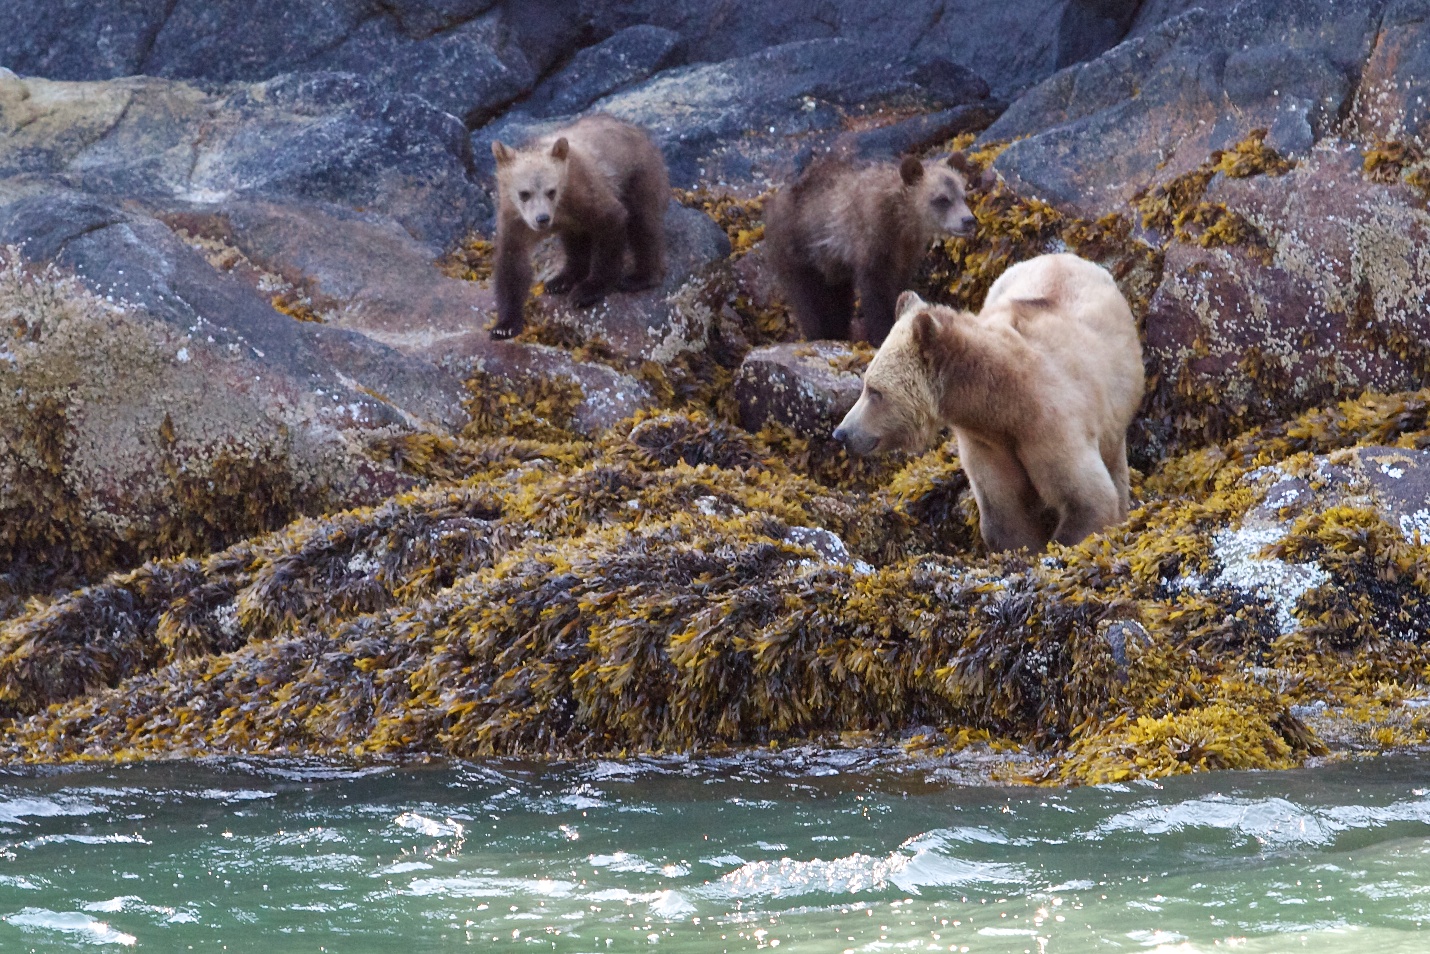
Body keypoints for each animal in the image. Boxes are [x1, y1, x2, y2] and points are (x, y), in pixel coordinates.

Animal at [491, 114, 669, 338]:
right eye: (524, 193)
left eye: (551, 191)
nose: (542, 219)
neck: (560, 207)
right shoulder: (514, 218)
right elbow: (512, 263)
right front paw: (504, 325)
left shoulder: (584, 191)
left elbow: (612, 223)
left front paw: (587, 291)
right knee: (575, 244)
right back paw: (560, 280)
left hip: (639, 176)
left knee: (643, 223)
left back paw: (640, 276)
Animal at [772, 149, 983, 343]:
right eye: (942, 199)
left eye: (963, 195)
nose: (968, 220)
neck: (900, 219)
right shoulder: (870, 239)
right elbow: (876, 290)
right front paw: (881, 332)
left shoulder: (905, 251)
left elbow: (900, 285)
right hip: (800, 248)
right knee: (810, 298)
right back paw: (820, 332)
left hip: (832, 265)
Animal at [835, 253, 1144, 552]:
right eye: (866, 385)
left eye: (875, 391)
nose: (842, 433)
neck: (1002, 405)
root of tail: (1064, 255)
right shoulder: (987, 444)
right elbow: (1004, 515)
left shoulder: (1052, 429)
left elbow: (1088, 498)